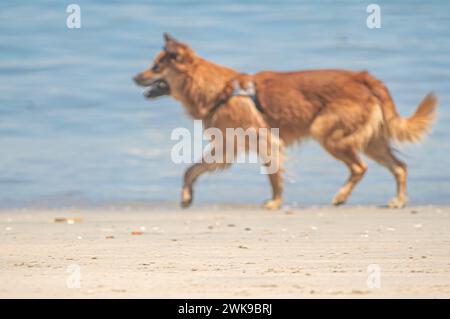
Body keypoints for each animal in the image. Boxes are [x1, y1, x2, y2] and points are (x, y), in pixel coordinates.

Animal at [133, 33, 436, 210]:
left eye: (156, 67)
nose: (135, 77)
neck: (219, 91)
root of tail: (364, 78)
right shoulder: (226, 147)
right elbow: (191, 169)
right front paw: (186, 196)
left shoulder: (264, 141)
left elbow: (273, 174)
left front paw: (275, 201)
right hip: (371, 141)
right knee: (400, 167)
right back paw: (398, 200)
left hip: (327, 132)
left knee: (360, 168)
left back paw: (341, 196)